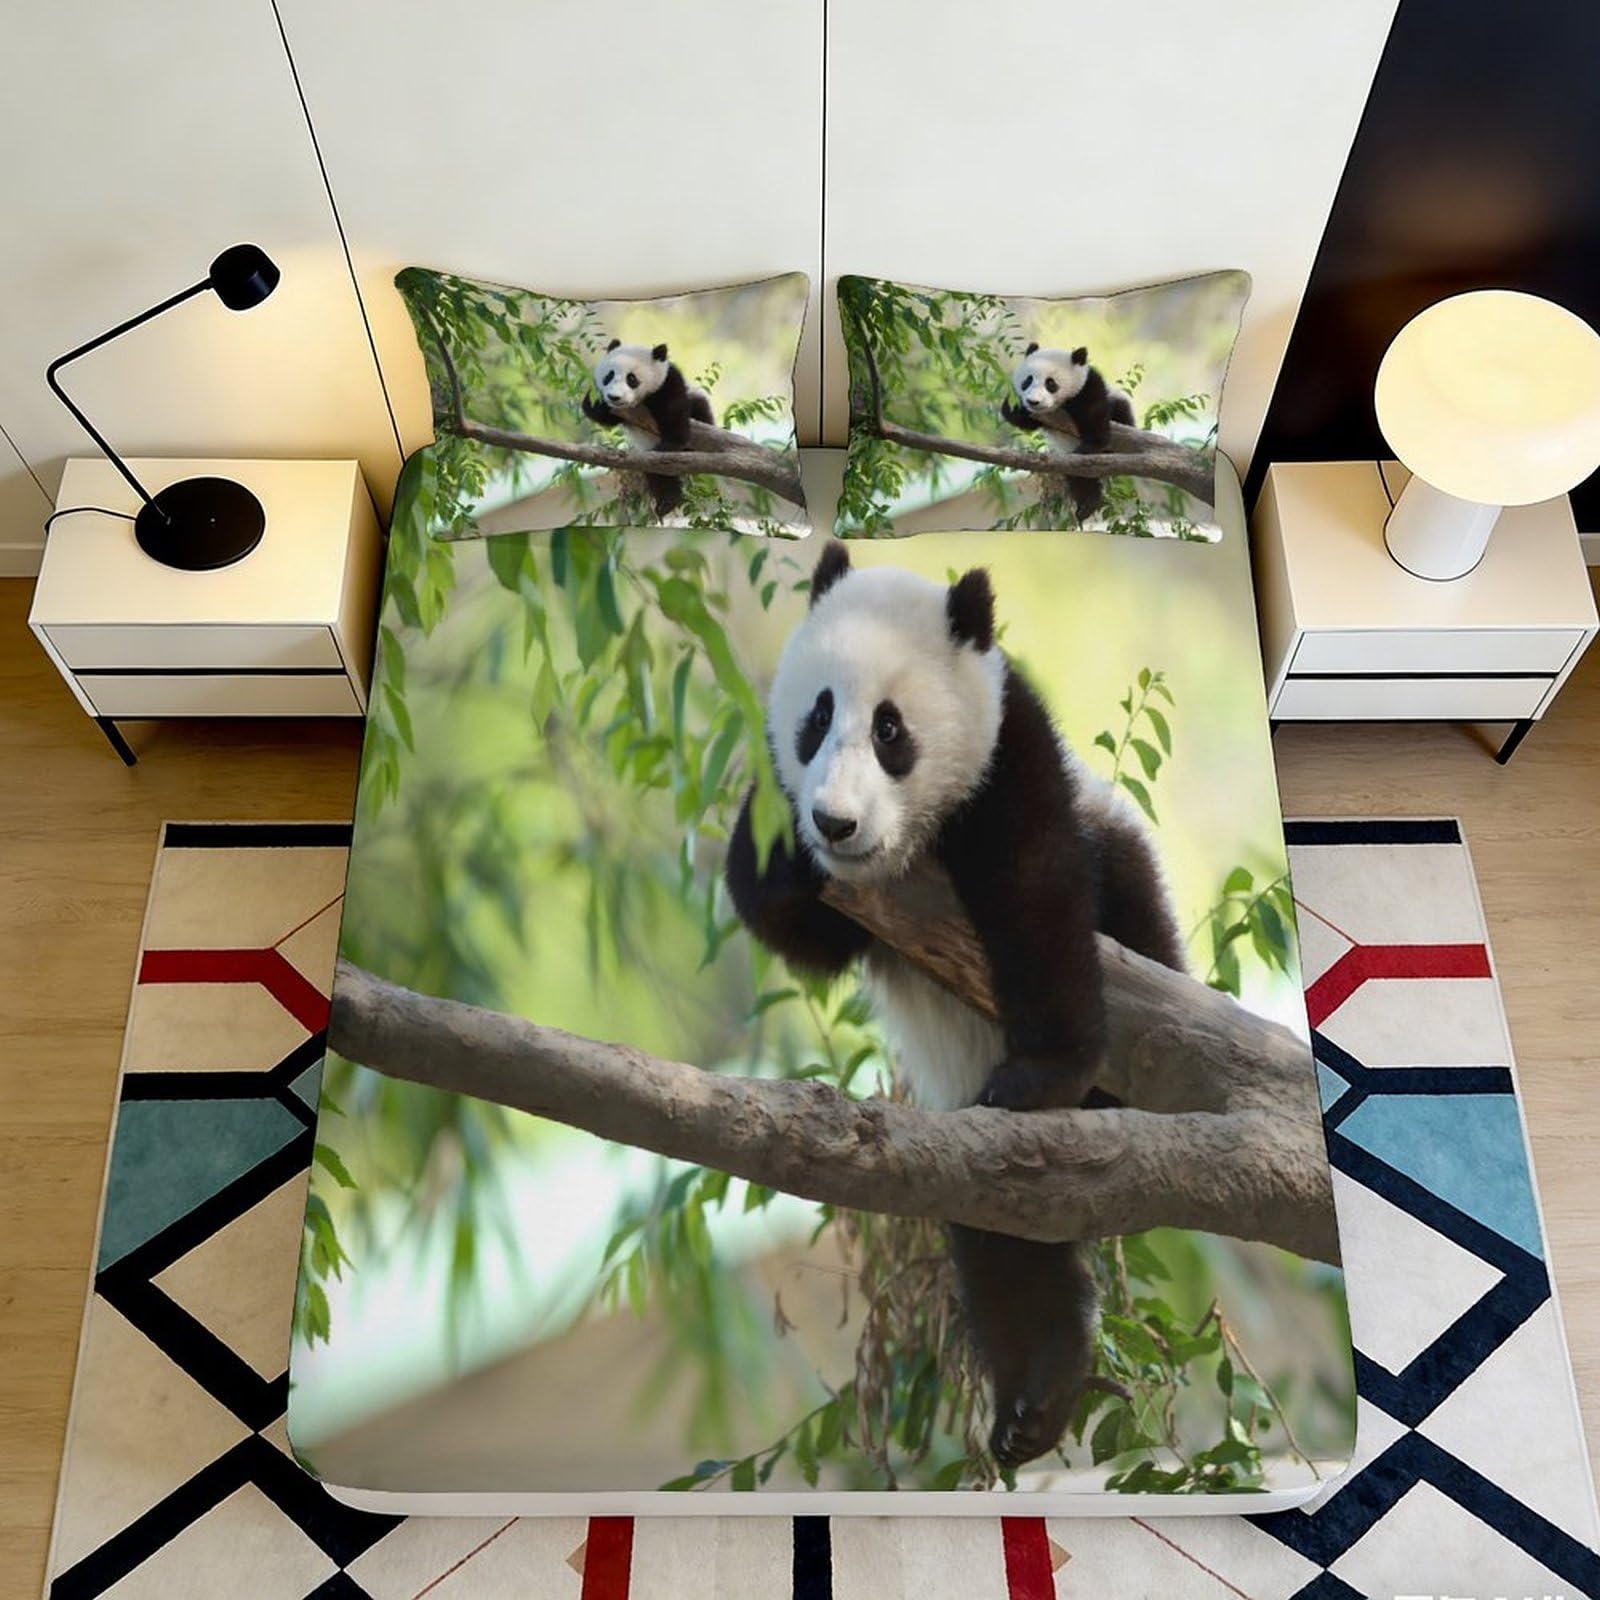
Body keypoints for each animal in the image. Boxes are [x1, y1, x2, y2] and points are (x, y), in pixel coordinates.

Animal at [581, 339, 715, 518]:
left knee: (700, 407)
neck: (640, 401)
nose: (614, 397)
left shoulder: (667, 382)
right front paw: (597, 404)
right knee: (658, 474)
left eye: (631, 378)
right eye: (609, 376)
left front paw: (670, 444)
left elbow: (673, 410)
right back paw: (667, 502)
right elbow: (599, 413)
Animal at [725, 541, 1186, 1469]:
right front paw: (787, 853)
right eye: (818, 716)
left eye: (890, 729)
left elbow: (1036, 891)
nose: (835, 823)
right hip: (972, 1154)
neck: (912, 845)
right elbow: (795, 923)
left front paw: (1043, 1072)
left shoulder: (1010, 756)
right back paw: (1034, 1401)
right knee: (1005, 1242)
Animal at [1000, 343, 1136, 523]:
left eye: (1050, 383)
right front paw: (1016, 408)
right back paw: (1086, 505)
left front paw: (1091, 445)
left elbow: (1093, 412)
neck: (1061, 405)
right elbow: (1021, 419)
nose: (1033, 401)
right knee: (1079, 477)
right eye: (1027, 380)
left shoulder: (1087, 386)